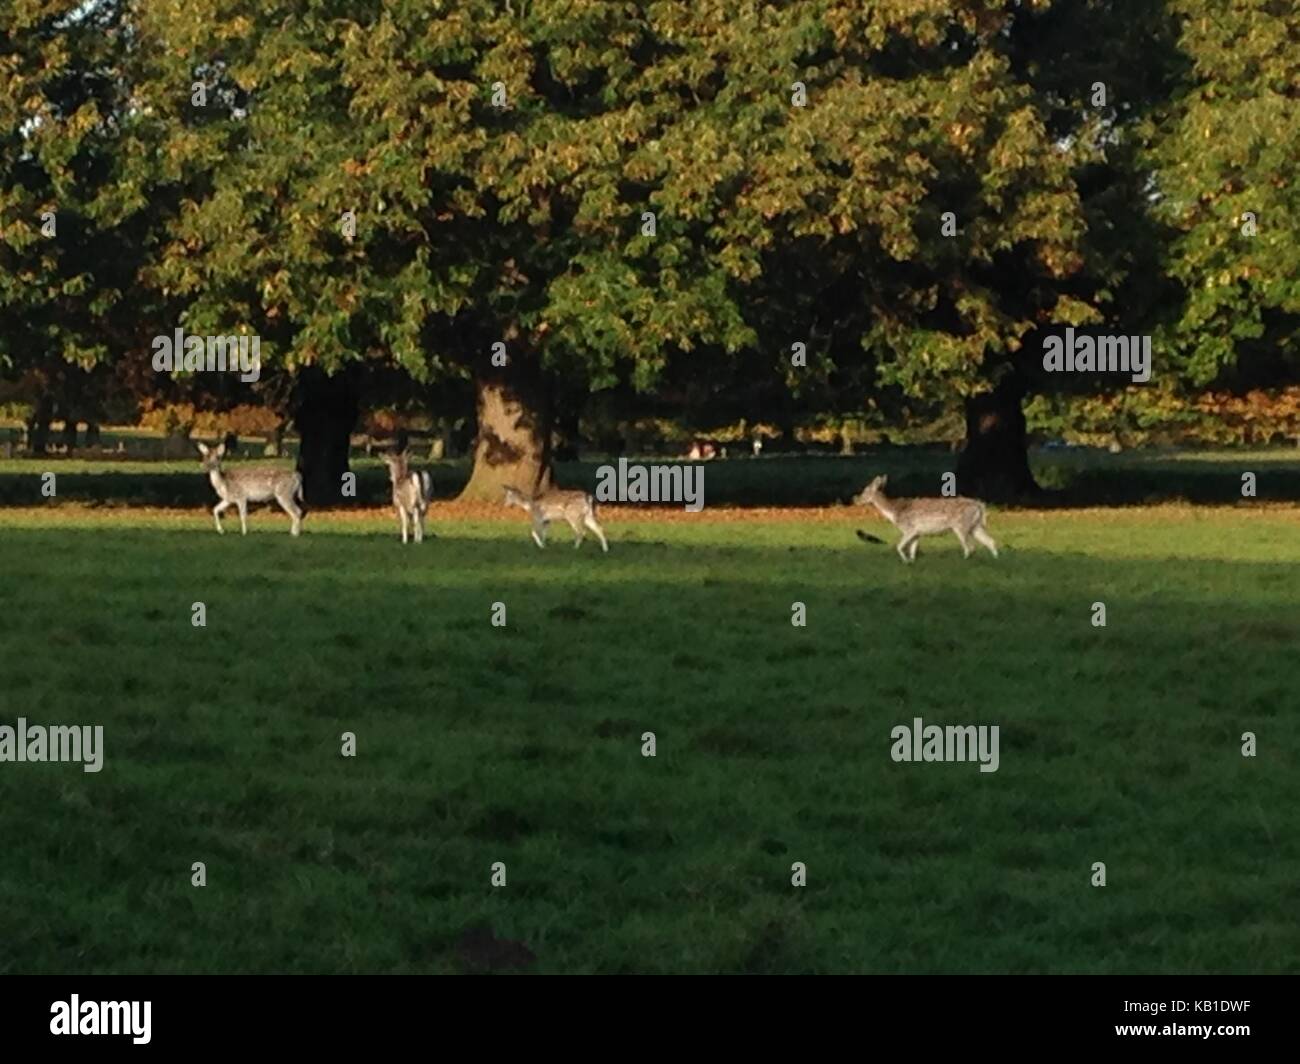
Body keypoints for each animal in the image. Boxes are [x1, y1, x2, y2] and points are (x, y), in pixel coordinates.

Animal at [847, 473, 998, 564]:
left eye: (866, 490)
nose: (855, 499)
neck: (895, 513)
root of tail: (980, 505)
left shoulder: (910, 529)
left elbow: (899, 546)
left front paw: (906, 562)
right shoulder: (917, 533)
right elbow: (913, 550)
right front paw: (911, 562)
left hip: (961, 526)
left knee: (970, 547)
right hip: (976, 526)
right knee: (990, 541)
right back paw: (996, 560)